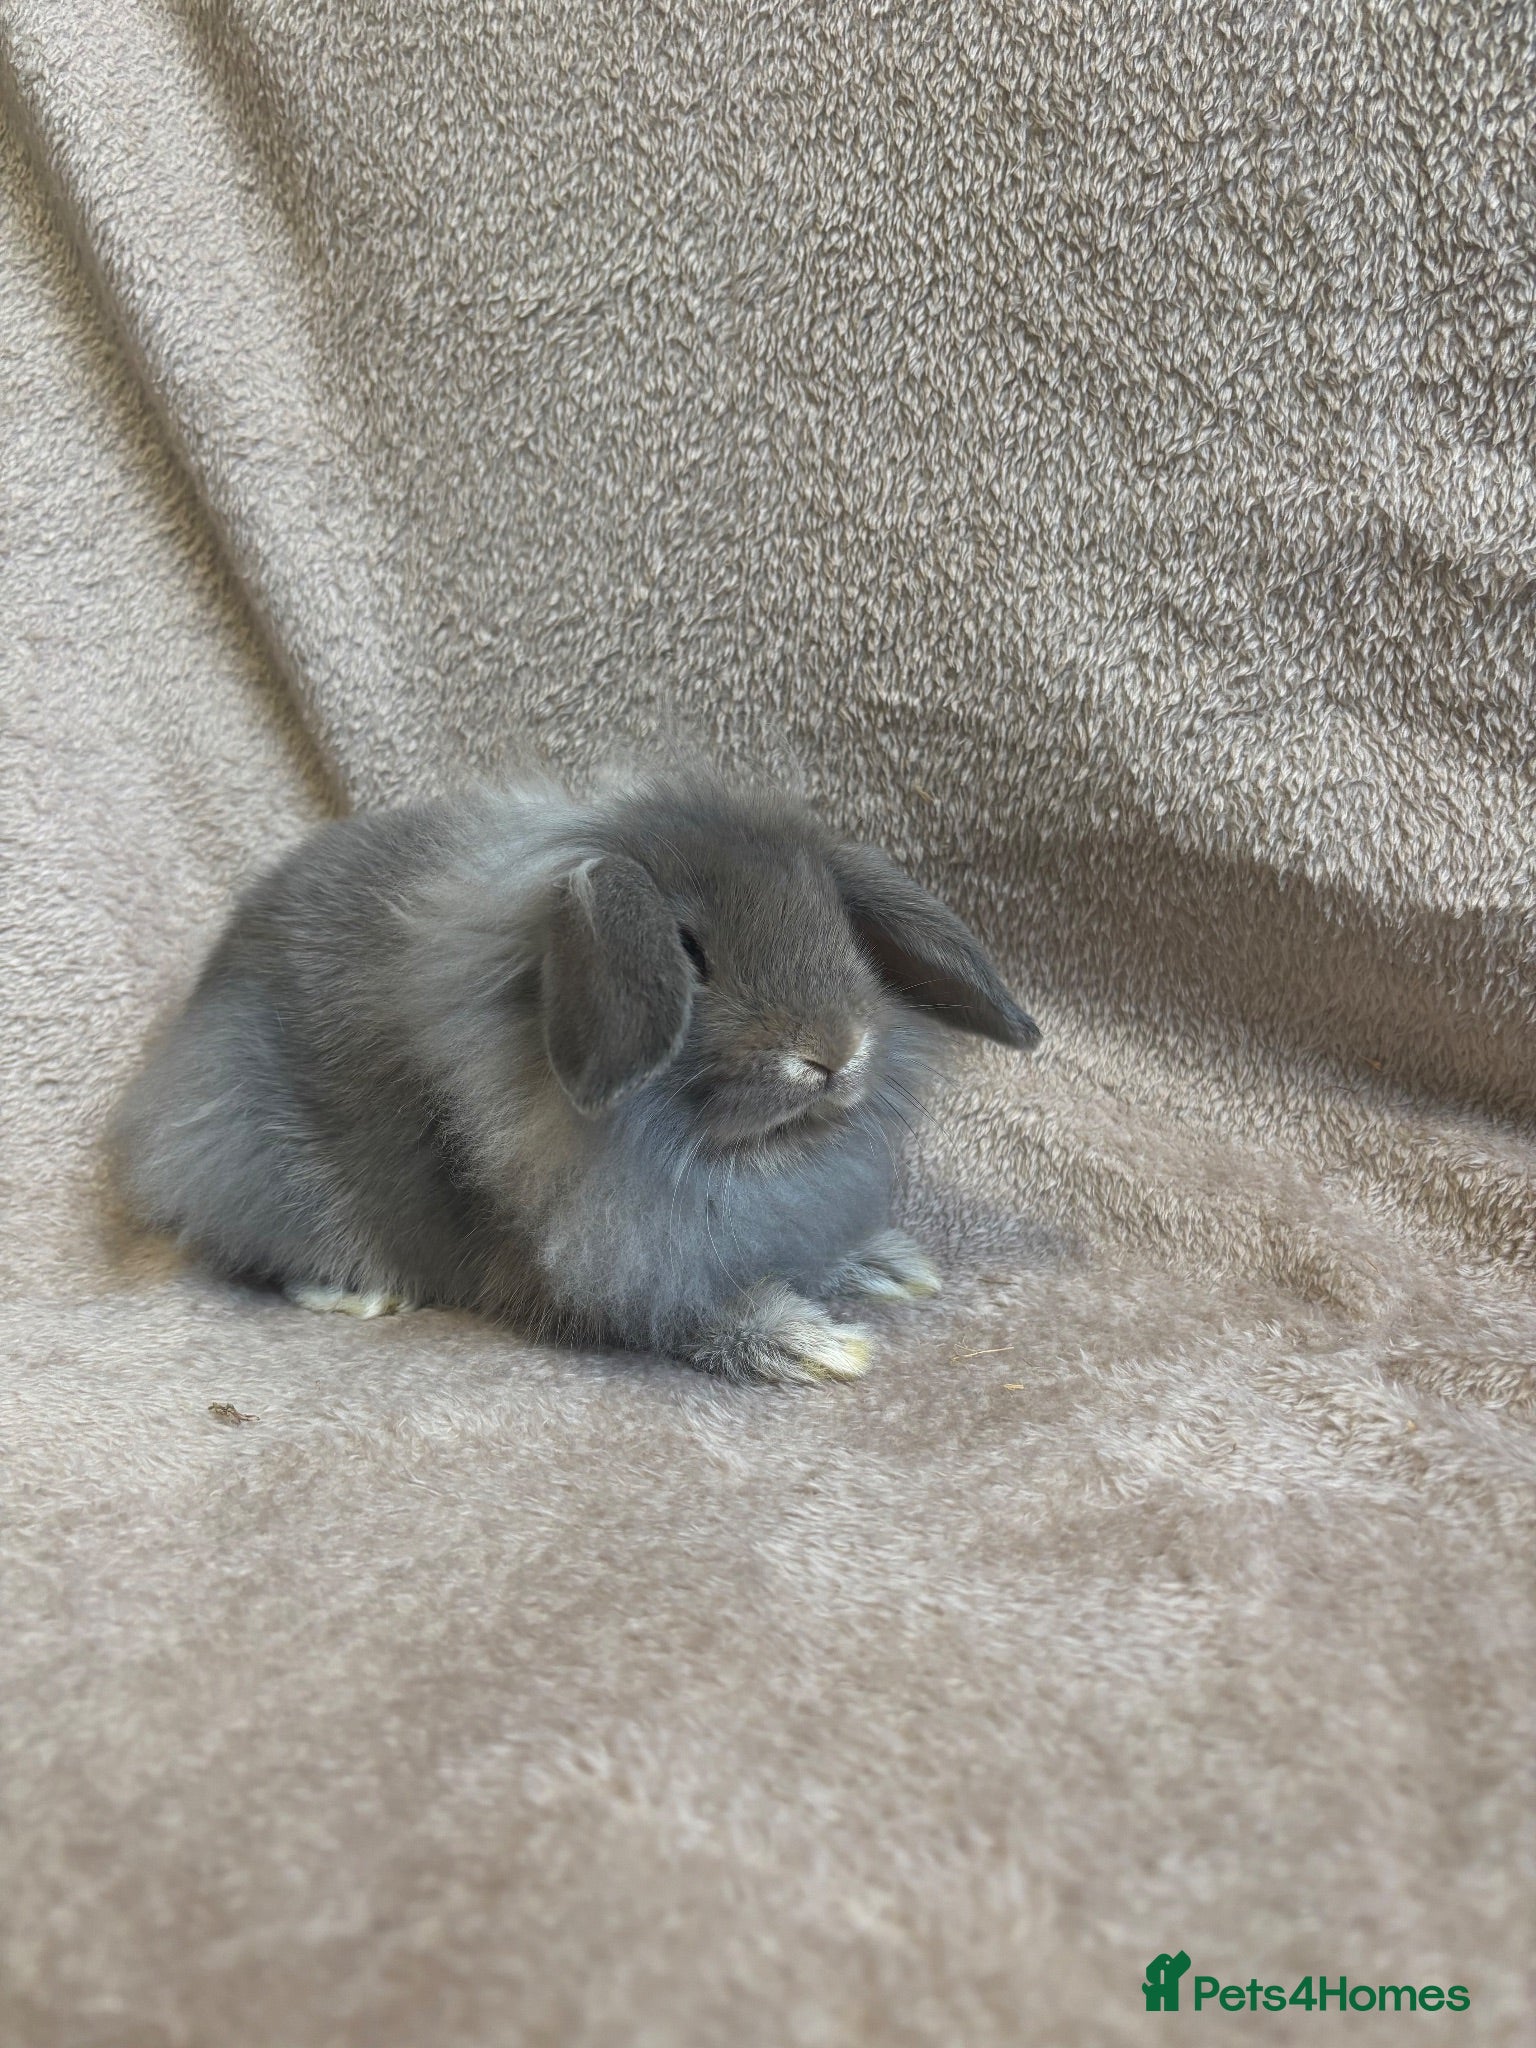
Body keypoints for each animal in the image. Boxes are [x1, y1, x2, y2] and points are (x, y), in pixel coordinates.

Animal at [114, 771, 1040, 1384]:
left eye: (841, 932)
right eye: (690, 954)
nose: (833, 1052)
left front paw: (888, 1267)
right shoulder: (622, 1277)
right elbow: (711, 1317)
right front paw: (819, 1346)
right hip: (260, 1159)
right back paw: (364, 1298)